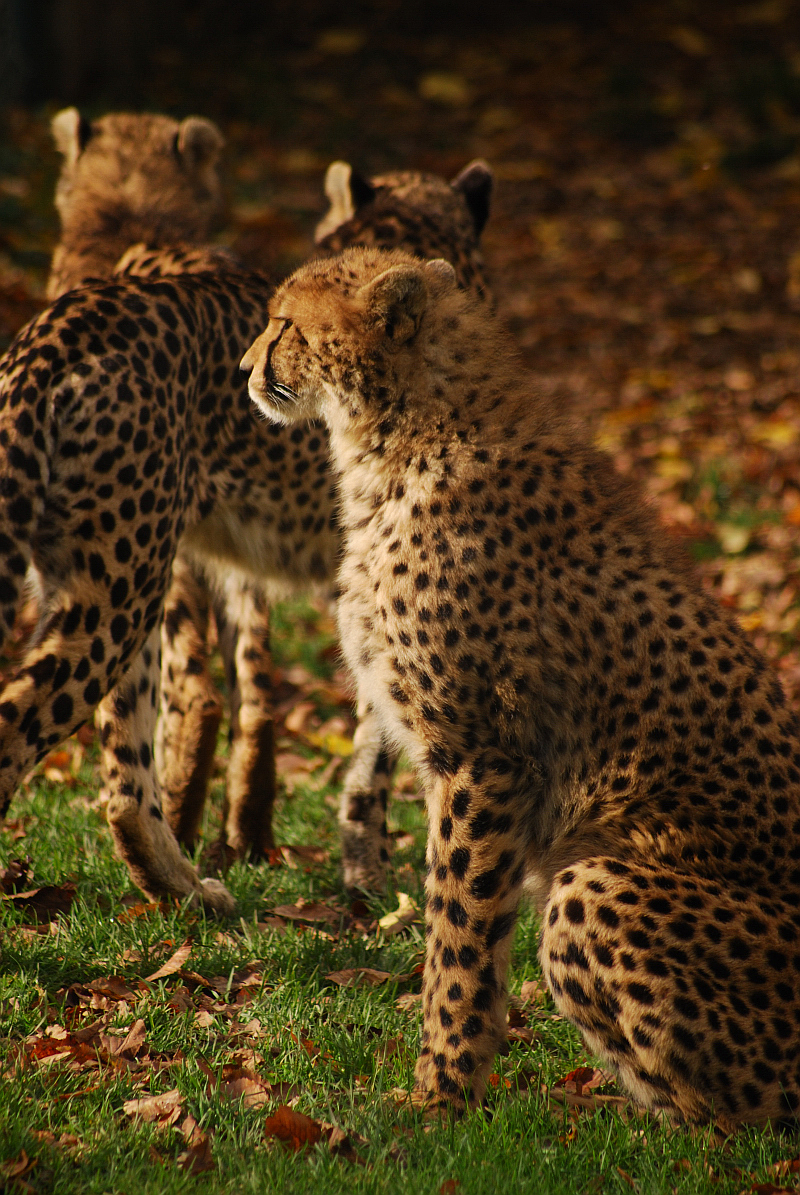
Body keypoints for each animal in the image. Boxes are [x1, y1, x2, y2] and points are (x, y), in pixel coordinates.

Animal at [242, 243, 800, 1131]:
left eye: (287, 323)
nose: (245, 368)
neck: (398, 437)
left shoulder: (484, 756)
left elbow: (459, 932)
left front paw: (441, 1092)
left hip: (593, 878)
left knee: (747, 1116)